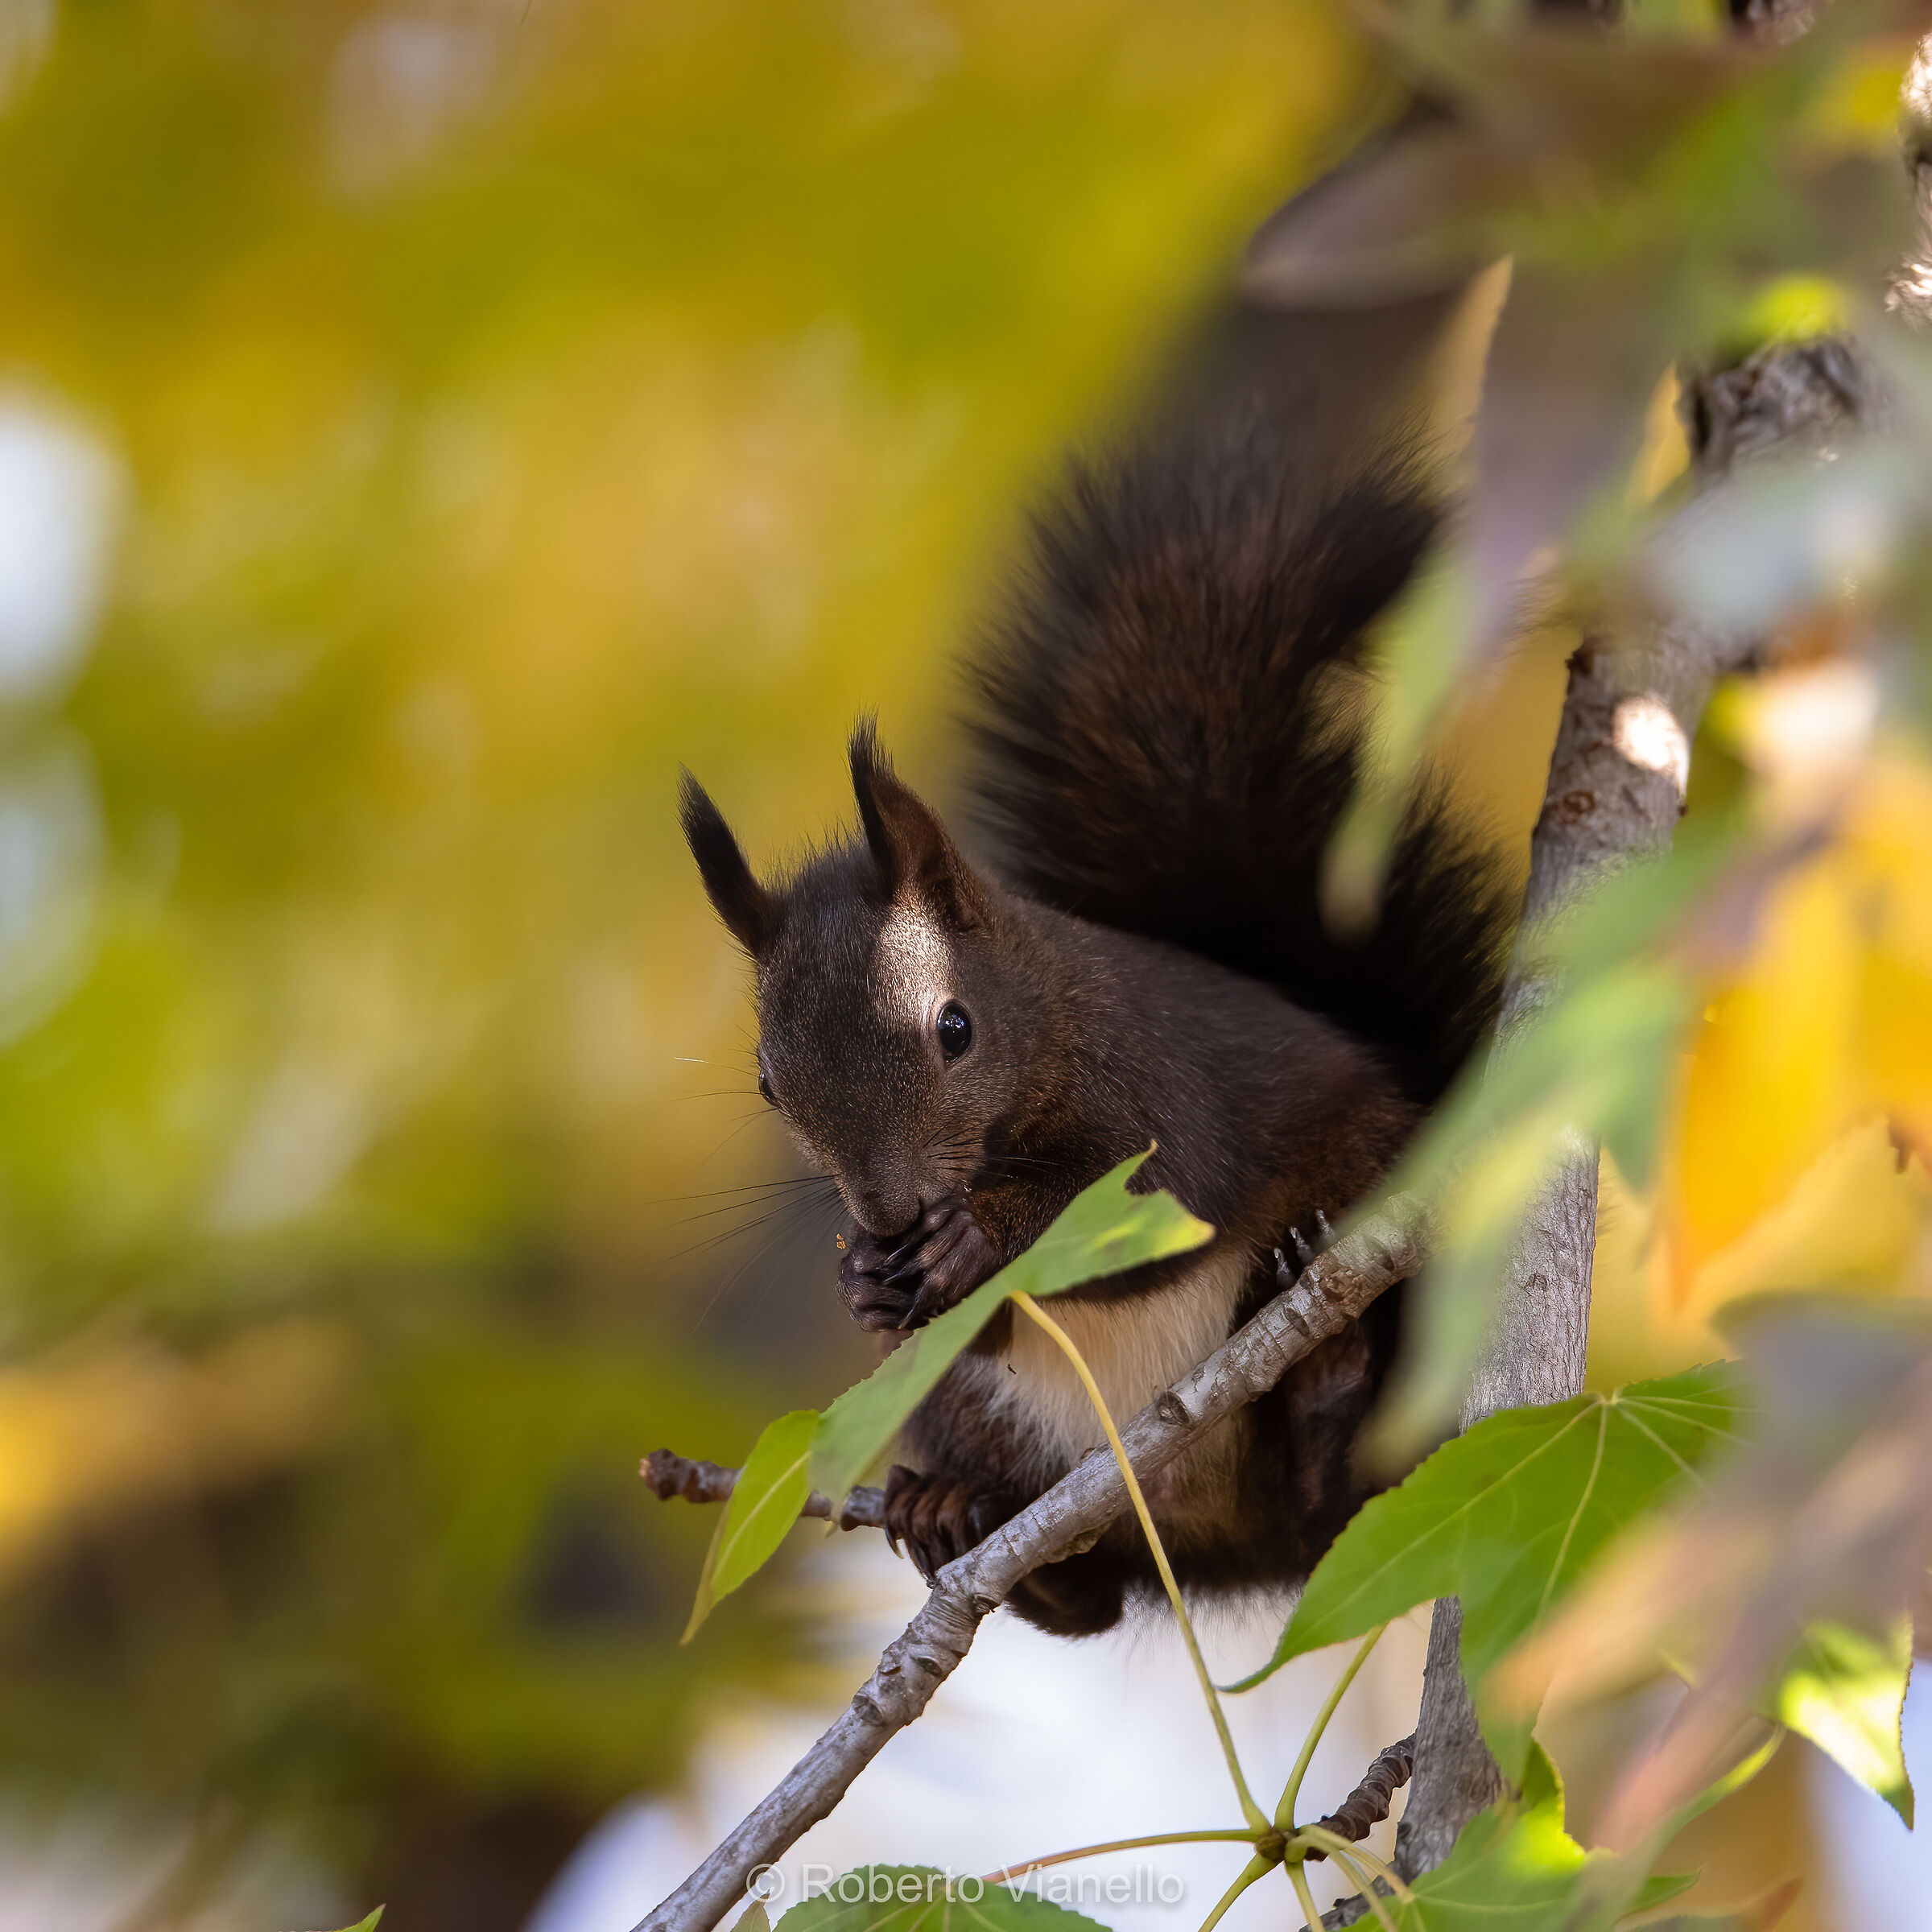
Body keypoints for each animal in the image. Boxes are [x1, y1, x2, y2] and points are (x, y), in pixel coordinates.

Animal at [677, 374, 1513, 1637]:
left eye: (955, 1029)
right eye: (770, 1083)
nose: (888, 1215)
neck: (1052, 1023)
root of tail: (1231, 1555)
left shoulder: (1164, 1084)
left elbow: (1164, 1206)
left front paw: (978, 1238)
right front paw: (864, 1282)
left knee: (1341, 1484)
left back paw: (1326, 1372)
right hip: (963, 1414)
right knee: (1089, 1600)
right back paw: (954, 1517)